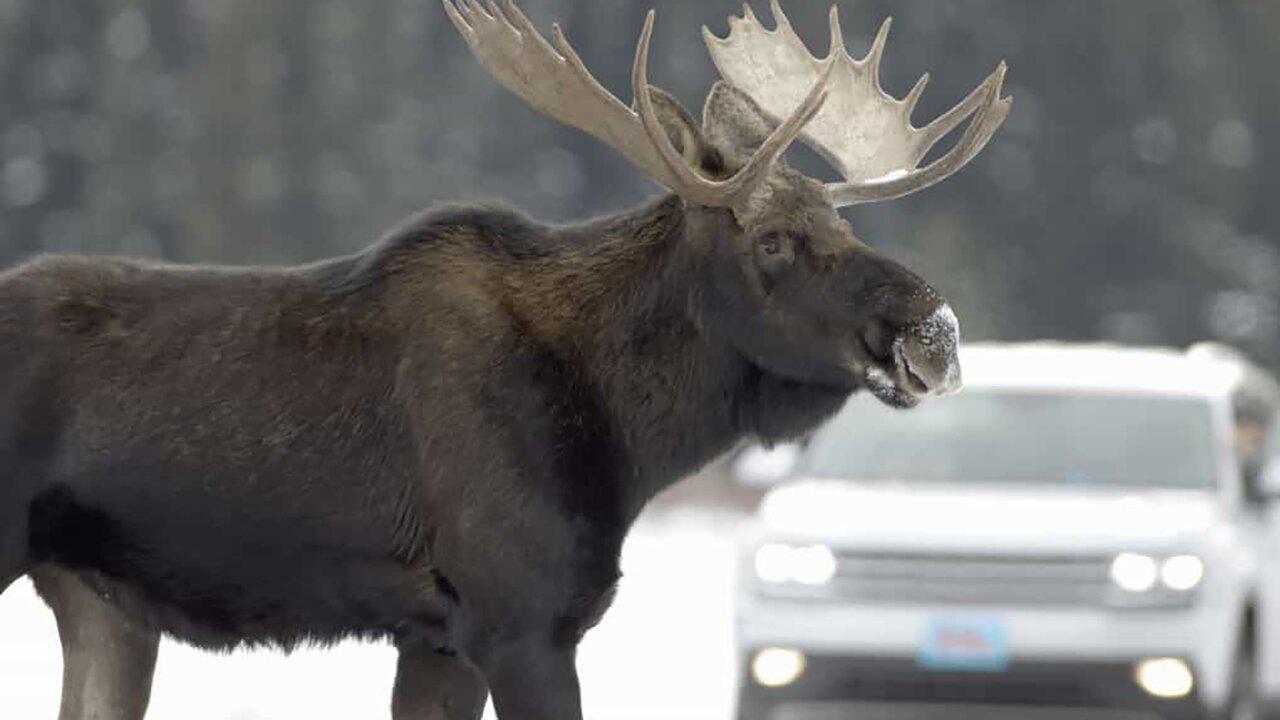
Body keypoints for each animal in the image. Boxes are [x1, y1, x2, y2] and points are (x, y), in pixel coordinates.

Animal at [0, 1, 1008, 717]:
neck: (629, 440)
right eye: (771, 241)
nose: (935, 334)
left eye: (846, 224)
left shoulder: (437, 638)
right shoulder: (519, 618)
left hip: (101, 602)